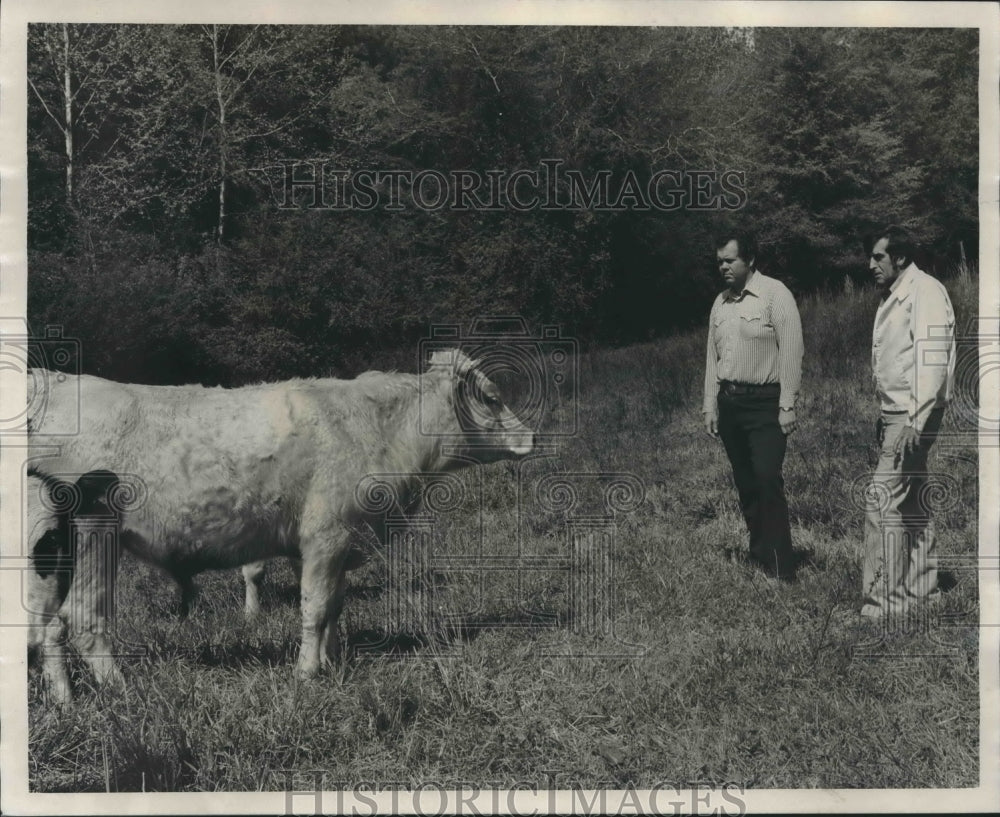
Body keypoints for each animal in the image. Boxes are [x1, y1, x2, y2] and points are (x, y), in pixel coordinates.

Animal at [29, 348, 532, 680]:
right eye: (491, 397)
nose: (529, 436)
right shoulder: (326, 536)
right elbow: (315, 607)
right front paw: (307, 674)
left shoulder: (340, 544)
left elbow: (334, 607)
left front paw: (331, 661)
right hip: (94, 537)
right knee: (83, 618)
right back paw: (119, 688)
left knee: (46, 626)